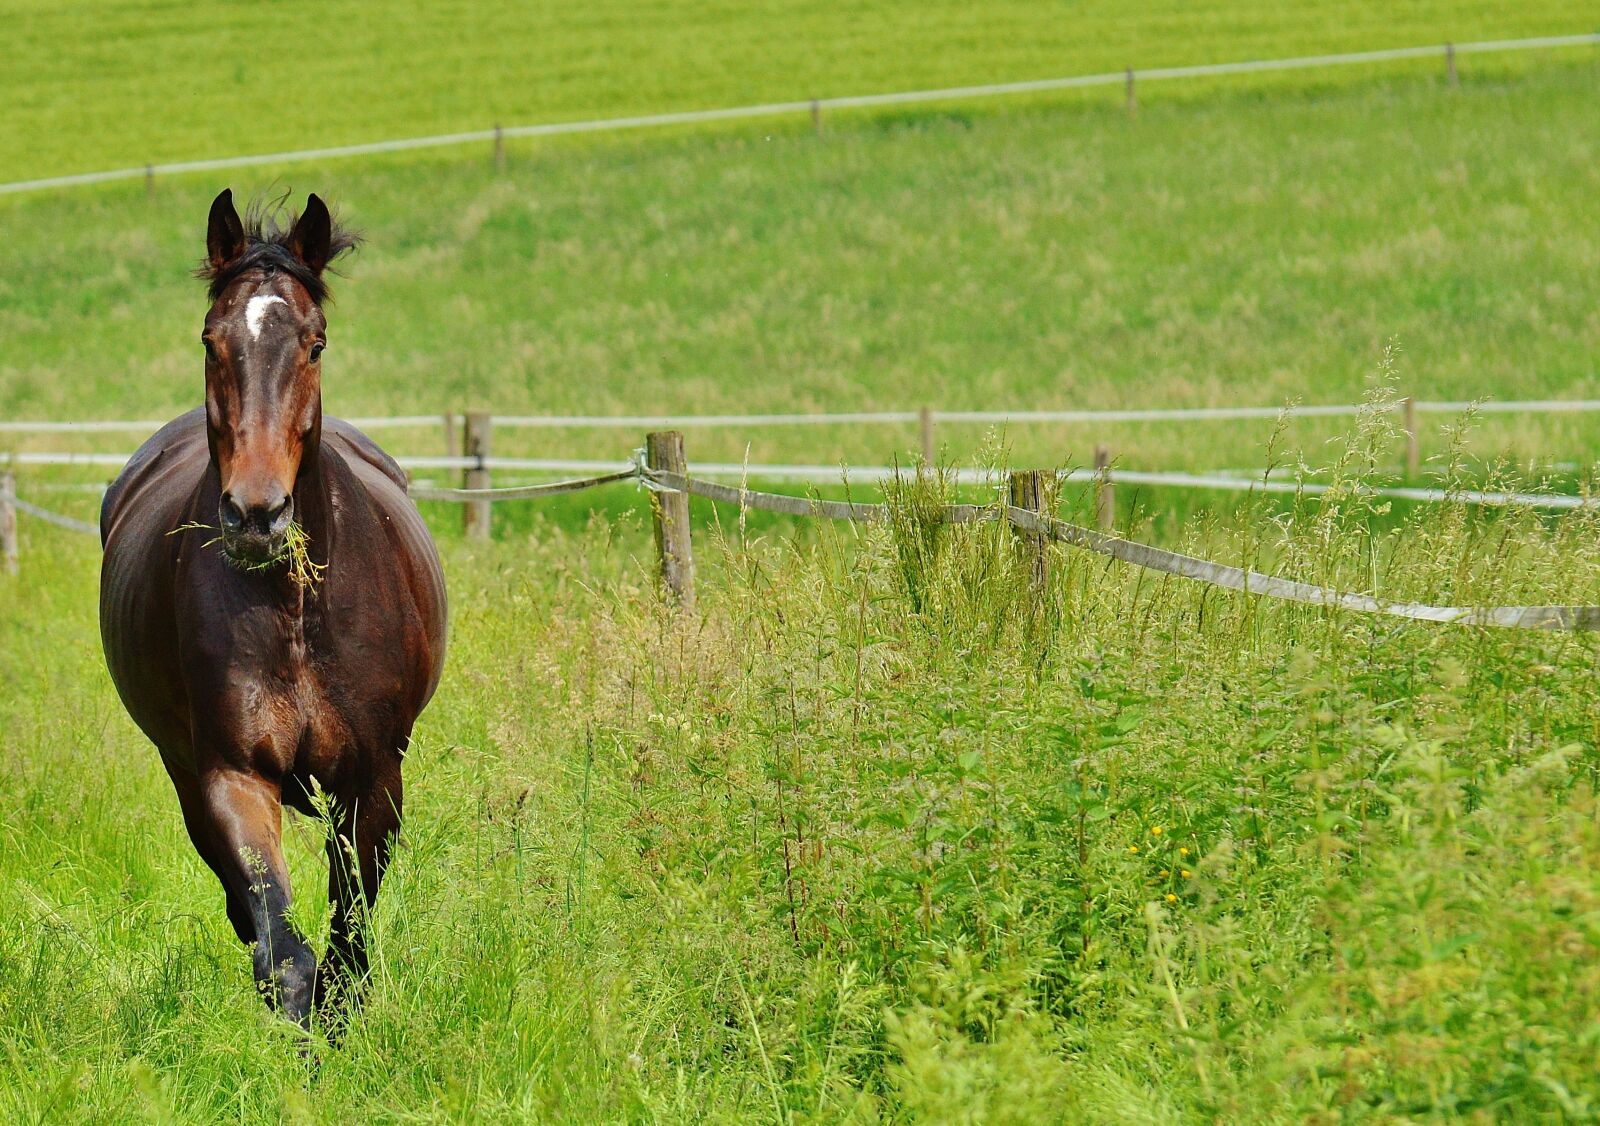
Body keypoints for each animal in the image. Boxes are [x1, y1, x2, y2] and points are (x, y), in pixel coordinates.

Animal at [99, 190, 448, 1026]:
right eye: (210, 339)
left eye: (314, 343)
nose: (256, 515)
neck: (296, 615)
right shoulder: (233, 775)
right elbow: (283, 951)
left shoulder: (373, 781)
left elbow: (349, 939)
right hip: (184, 772)